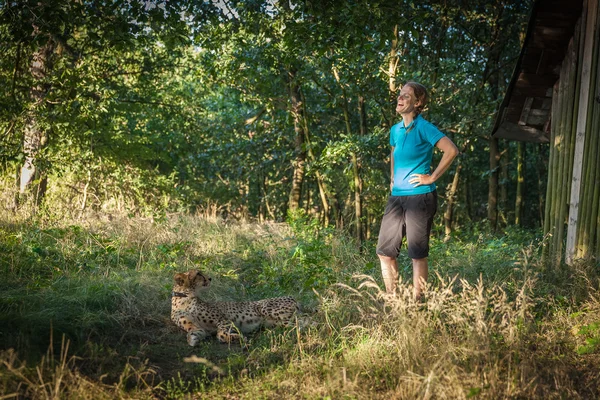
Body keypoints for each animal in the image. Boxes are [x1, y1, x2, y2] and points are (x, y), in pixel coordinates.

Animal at [169, 270, 300, 346]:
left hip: (267, 309)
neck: (184, 298)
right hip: (276, 322)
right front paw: (192, 340)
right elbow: (193, 334)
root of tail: (292, 296)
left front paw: (241, 338)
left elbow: (221, 334)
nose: (210, 278)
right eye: (198, 274)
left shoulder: (222, 320)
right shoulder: (197, 327)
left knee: (301, 323)